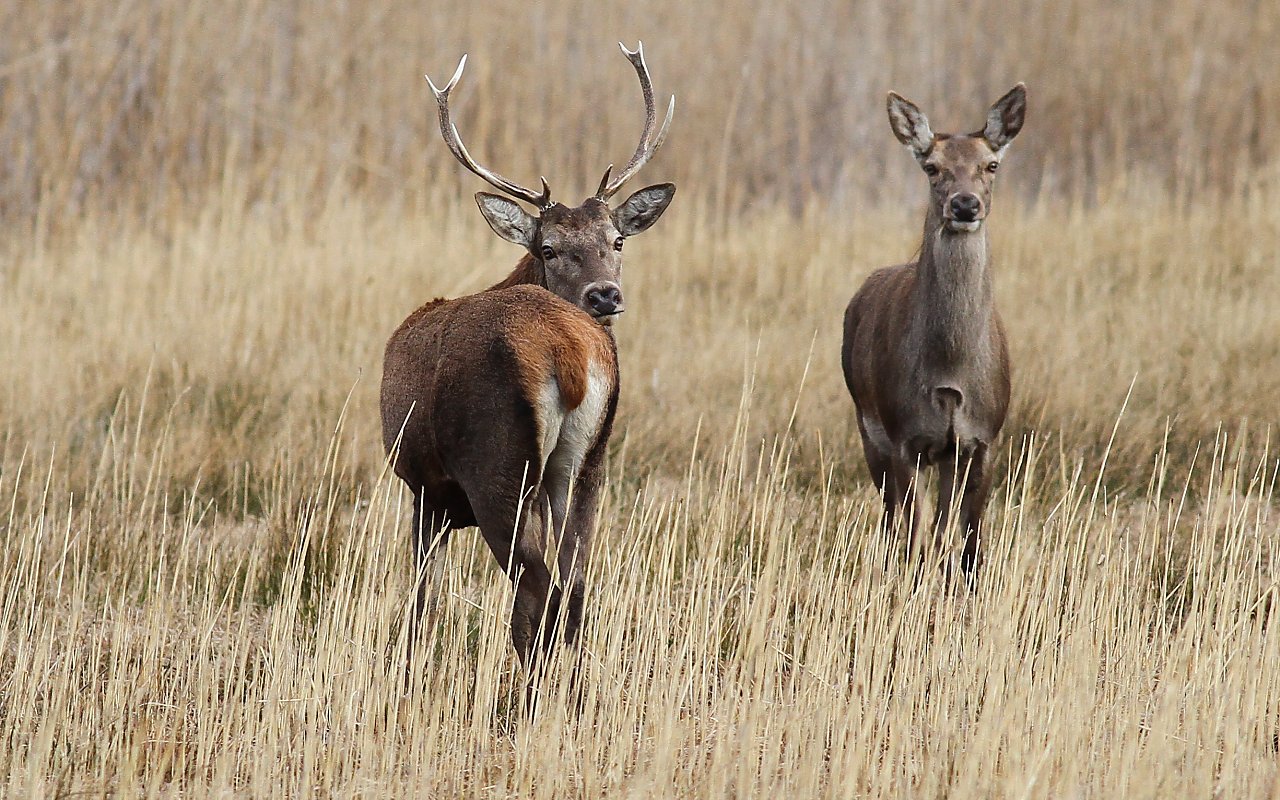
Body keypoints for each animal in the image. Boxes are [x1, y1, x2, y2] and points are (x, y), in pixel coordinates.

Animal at [380, 43, 675, 673]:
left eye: (617, 240)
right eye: (550, 248)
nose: (605, 295)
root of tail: (567, 352)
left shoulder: (423, 487)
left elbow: (422, 600)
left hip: (497, 461)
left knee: (535, 588)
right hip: (588, 463)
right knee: (577, 585)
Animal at [841, 84, 1026, 582]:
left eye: (991, 164)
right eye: (932, 167)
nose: (964, 204)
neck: (949, 373)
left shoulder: (982, 438)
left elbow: (970, 544)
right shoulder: (903, 436)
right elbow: (914, 539)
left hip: (944, 455)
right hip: (869, 429)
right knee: (894, 524)